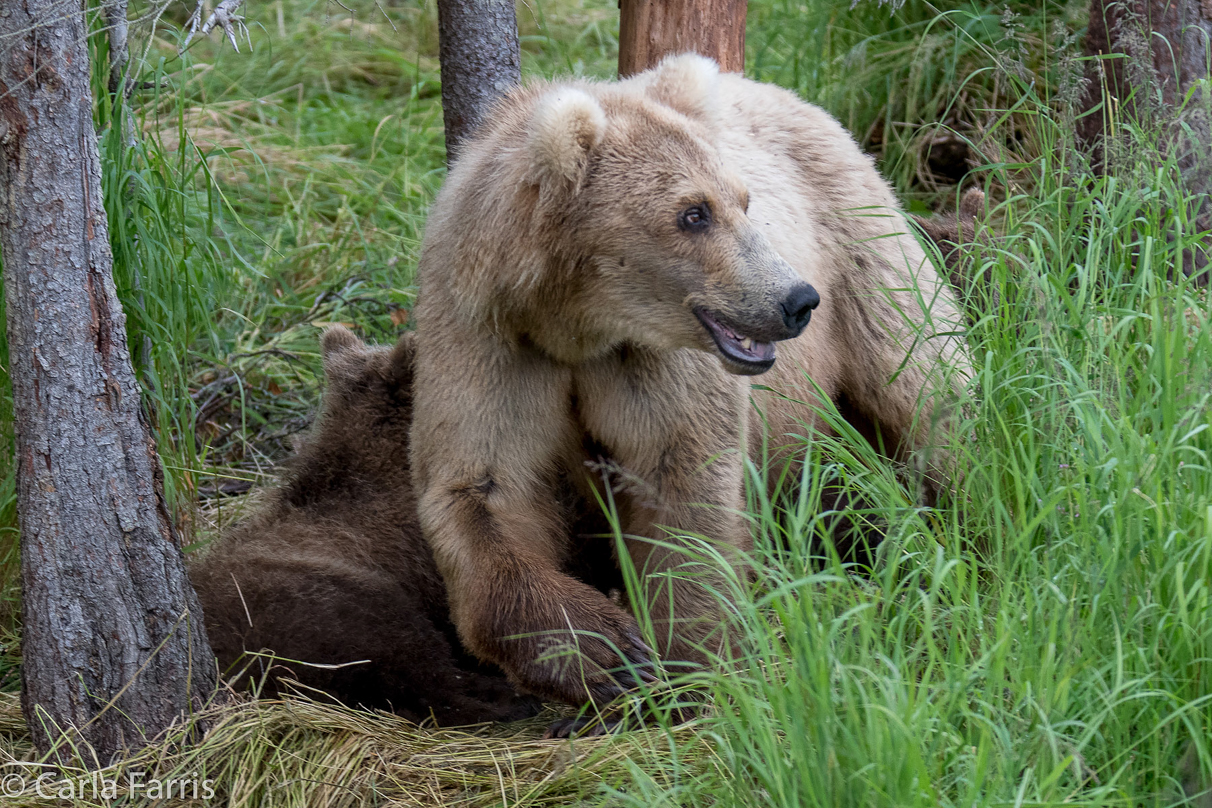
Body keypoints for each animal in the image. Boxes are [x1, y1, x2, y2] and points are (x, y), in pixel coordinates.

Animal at [412, 53, 969, 731]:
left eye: (743, 202)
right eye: (693, 213)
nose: (796, 300)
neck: (577, 327)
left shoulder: (652, 362)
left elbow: (683, 481)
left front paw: (686, 674)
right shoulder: (488, 341)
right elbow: (481, 487)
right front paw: (604, 653)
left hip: (864, 248)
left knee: (926, 386)